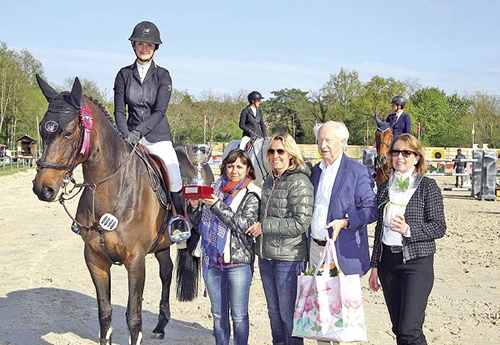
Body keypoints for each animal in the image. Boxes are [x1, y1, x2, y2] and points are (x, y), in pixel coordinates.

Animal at [32, 76, 213, 344]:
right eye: (43, 130)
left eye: (67, 132)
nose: (42, 188)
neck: (113, 189)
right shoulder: (94, 259)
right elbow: (104, 312)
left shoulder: (135, 260)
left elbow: (134, 316)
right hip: (161, 245)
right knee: (167, 272)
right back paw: (161, 325)